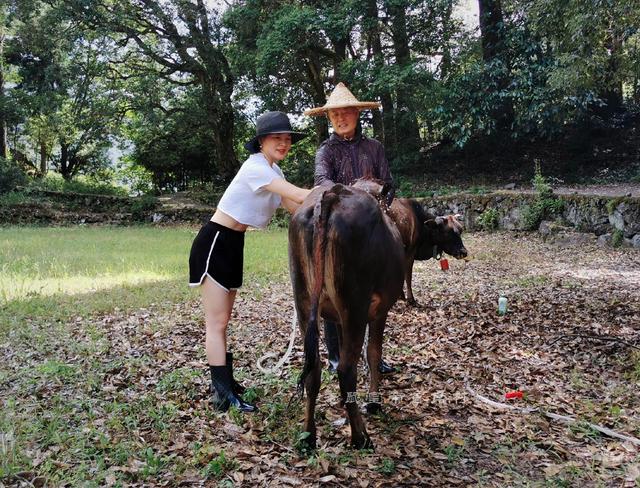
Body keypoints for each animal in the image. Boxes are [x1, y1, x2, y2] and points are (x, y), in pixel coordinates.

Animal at [288, 183, 402, 450]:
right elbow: (373, 354)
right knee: (346, 370)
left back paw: (308, 435)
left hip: (303, 298)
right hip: (355, 304)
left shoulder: (336, 318)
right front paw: (374, 401)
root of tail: (332, 194)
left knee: (314, 368)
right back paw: (361, 437)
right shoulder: (380, 310)